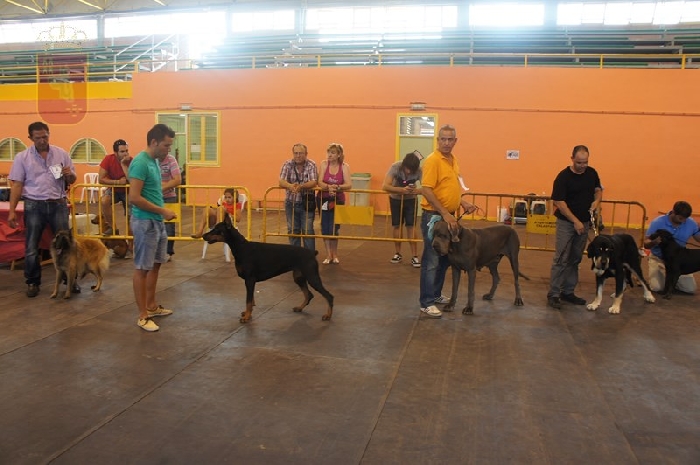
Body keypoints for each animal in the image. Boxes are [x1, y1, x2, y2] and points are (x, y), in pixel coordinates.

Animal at [201, 215, 333, 323]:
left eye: (216, 229)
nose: (203, 235)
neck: (241, 247)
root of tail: (312, 252)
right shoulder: (249, 281)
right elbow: (251, 300)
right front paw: (247, 313)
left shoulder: (249, 279)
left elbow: (248, 300)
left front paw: (246, 317)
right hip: (299, 277)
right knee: (309, 294)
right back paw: (299, 308)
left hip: (312, 277)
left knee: (328, 296)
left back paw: (328, 315)